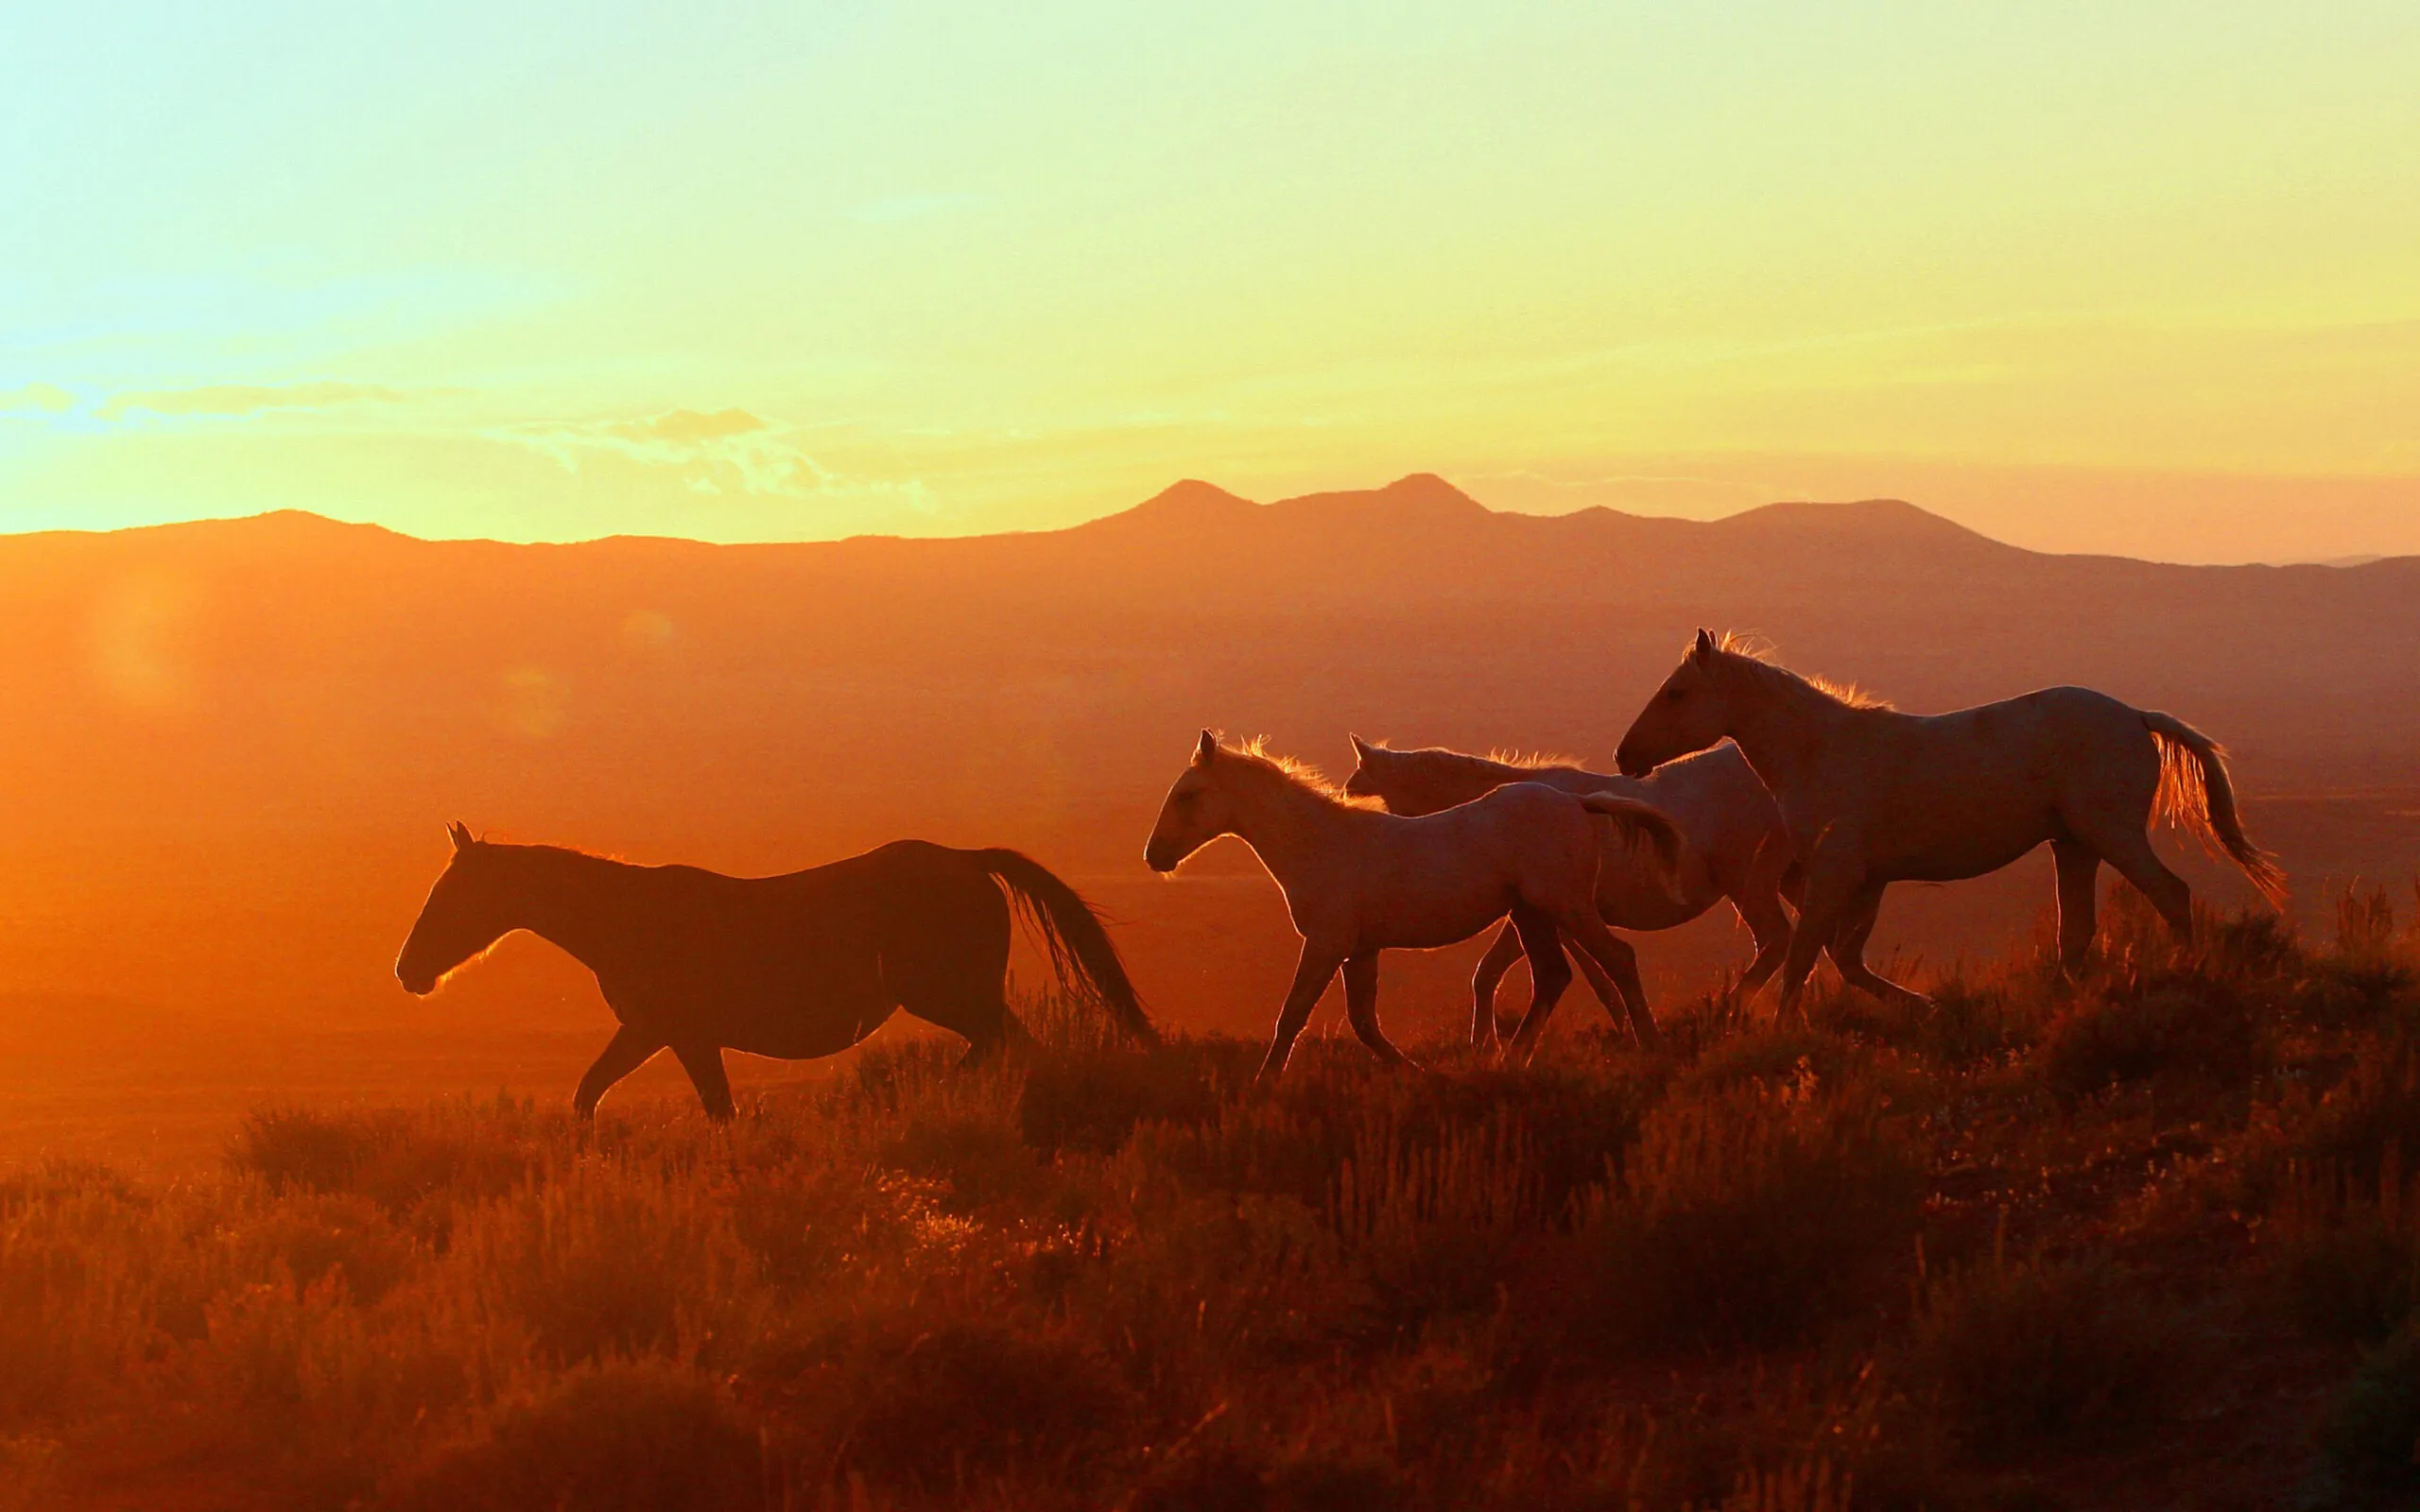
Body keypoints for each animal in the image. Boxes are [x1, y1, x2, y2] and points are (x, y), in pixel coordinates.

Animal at [395, 824, 1154, 1119]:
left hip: (953, 995)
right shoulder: (652, 1034)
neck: (625, 917)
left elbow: (714, 1111)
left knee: (1011, 1047)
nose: (408, 971)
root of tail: (969, 861)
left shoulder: (678, 1035)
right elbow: (589, 1094)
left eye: (450, 895)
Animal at [1143, 731, 1686, 1078]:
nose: (1154, 856)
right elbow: (1364, 1024)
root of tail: (1576, 803)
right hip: (1531, 914)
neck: (1321, 845)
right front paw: (1419, 1073)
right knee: (1553, 976)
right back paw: (1509, 1060)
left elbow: (1293, 1015)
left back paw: (1653, 1049)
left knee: (1617, 959)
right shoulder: (1360, 950)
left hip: (1565, 907)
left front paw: (1263, 1086)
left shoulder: (1326, 943)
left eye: (1187, 794)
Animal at [1342, 736, 1800, 1044]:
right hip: (1792, 878)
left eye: (1357, 793)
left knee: (1777, 939)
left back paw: (1728, 1011)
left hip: (1748, 882)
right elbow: (1495, 974)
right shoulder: (1544, 913)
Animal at [1613, 630, 2287, 1019]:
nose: (1626, 756)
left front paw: (1781, 1034)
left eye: (1676, 693)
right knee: (2077, 930)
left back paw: (2188, 977)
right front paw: (1925, 1006)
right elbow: (1843, 959)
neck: (1820, 751)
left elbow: (1804, 956)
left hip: (2111, 835)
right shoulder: (1866, 881)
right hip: (2073, 845)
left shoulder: (1836, 872)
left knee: (2171, 894)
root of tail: (2136, 716)